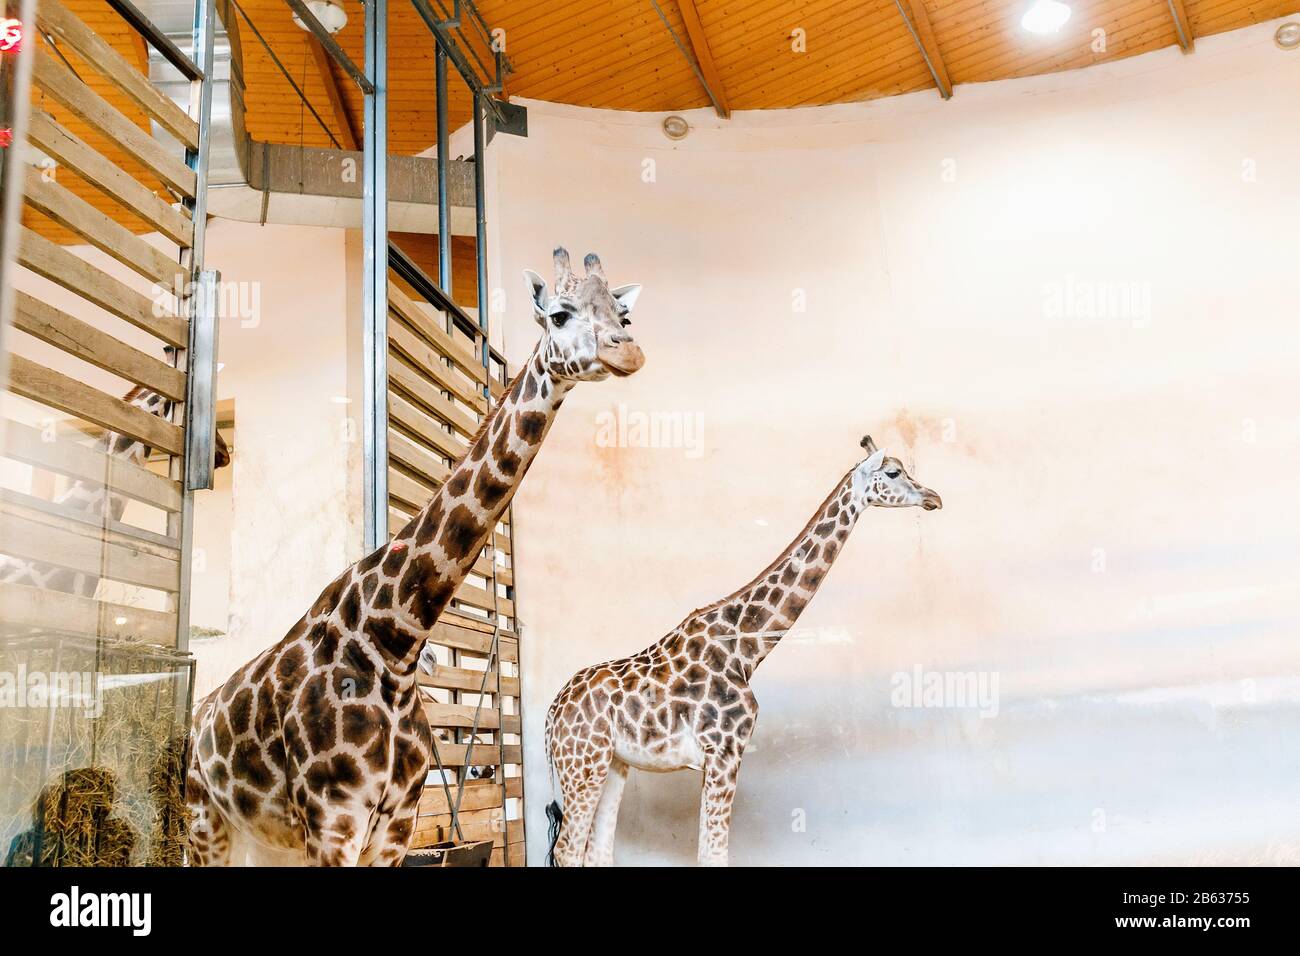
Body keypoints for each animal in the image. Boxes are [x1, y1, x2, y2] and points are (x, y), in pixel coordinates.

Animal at [186, 248, 645, 866]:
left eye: (622, 313)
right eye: (559, 314)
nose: (628, 350)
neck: (395, 643)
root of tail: (197, 716)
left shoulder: (395, 825)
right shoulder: (332, 822)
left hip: (262, 840)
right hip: (204, 822)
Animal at [544, 434, 942, 866]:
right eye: (894, 472)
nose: (934, 497)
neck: (747, 650)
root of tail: (550, 716)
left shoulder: (714, 760)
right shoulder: (724, 753)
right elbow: (713, 853)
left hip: (613, 763)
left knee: (596, 850)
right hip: (583, 762)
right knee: (566, 848)